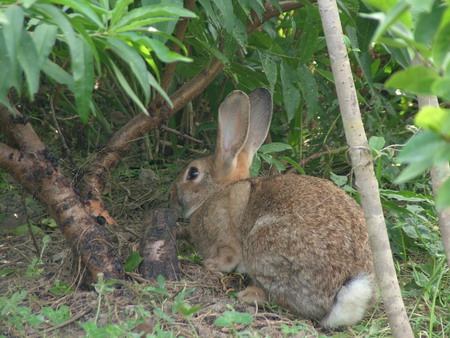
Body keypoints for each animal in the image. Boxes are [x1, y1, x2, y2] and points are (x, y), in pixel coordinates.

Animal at [170, 87, 376, 328]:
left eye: (192, 173)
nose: (171, 195)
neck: (215, 193)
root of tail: (343, 295)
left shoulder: (224, 236)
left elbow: (227, 258)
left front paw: (211, 264)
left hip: (262, 245)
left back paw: (249, 294)